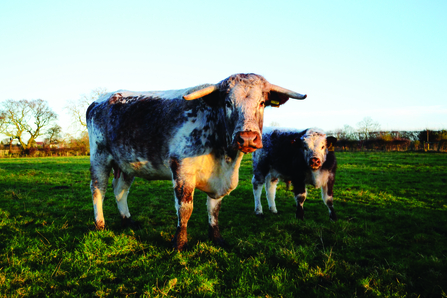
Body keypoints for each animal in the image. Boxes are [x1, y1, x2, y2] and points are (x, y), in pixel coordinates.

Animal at [86, 73, 306, 250]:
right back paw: (100, 224)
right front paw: (179, 243)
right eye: (227, 103)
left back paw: (128, 221)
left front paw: (217, 238)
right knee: (98, 189)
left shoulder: (220, 179)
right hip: (99, 156)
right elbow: (185, 208)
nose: (247, 138)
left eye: (262, 103)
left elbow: (214, 210)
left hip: (126, 164)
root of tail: (100, 100)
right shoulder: (182, 170)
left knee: (120, 190)